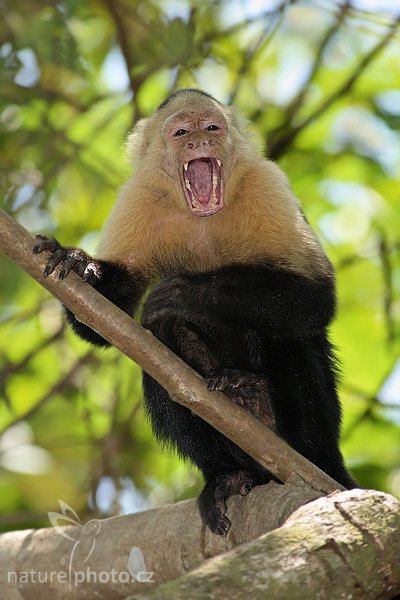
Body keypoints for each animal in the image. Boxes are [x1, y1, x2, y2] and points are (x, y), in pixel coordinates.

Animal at [32, 88, 354, 536]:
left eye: (212, 127)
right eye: (182, 132)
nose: (200, 141)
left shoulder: (267, 184)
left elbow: (314, 297)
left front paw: (184, 292)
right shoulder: (138, 198)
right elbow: (104, 321)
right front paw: (81, 267)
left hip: (322, 439)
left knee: (288, 336)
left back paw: (271, 417)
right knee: (159, 356)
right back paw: (228, 472)